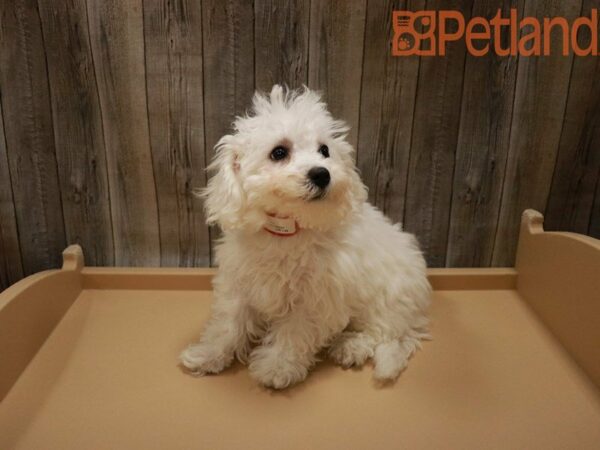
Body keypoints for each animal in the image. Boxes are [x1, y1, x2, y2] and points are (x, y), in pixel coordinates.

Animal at [179, 86, 432, 388]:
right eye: (279, 152)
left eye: (324, 150)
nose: (322, 174)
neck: (288, 230)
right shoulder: (241, 283)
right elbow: (227, 323)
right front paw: (208, 354)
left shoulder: (315, 298)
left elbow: (294, 333)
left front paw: (277, 367)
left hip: (388, 296)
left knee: (383, 333)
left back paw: (351, 346)